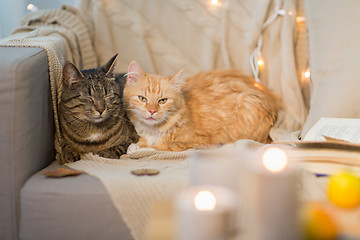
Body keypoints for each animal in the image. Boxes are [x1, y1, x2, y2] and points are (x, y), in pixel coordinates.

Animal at [124, 61, 282, 152]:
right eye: (142, 98)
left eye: (162, 101)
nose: (151, 111)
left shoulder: (194, 142)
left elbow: (157, 146)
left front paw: (137, 148)